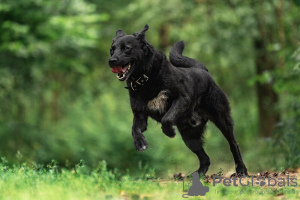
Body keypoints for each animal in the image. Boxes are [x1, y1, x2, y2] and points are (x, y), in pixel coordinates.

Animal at [109, 24, 247, 175]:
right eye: (112, 50)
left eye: (127, 48)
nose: (111, 61)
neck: (146, 78)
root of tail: (203, 70)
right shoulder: (140, 115)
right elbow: (134, 129)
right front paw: (140, 143)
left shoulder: (181, 99)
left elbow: (166, 118)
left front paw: (169, 132)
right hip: (190, 138)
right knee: (205, 158)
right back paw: (196, 175)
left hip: (222, 120)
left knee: (233, 144)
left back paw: (241, 170)